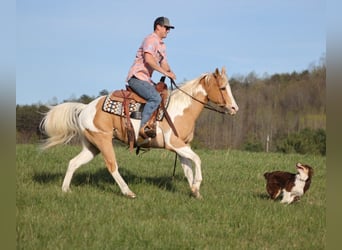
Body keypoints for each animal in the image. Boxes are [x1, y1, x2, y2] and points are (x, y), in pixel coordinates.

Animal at [39, 67, 238, 199]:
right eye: (222, 88)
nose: (234, 108)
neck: (181, 109)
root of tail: (85, 108)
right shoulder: (174, 143)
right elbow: (198, 159)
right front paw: (197, 185)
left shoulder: (181, 147)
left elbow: (188, 167)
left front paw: (195, 192)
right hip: (103, 140)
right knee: (112, 166)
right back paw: (128, 192)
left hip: (91, 146)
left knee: (73, 163)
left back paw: (66, 189)